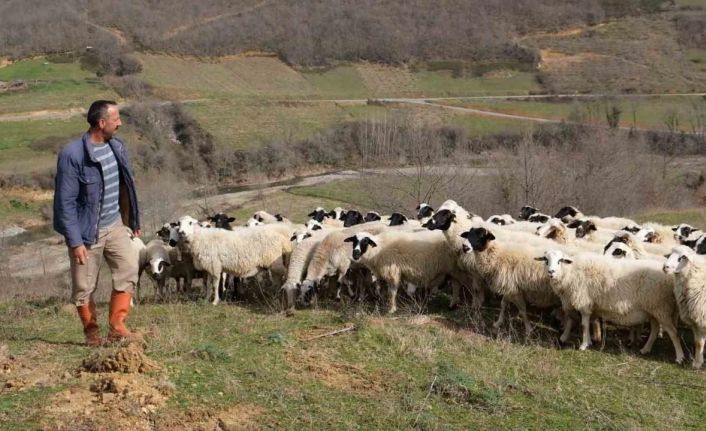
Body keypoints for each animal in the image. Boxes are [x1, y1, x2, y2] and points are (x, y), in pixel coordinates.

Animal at [532, 248, 680, 362]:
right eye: (546, 260)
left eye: (560, 260)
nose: (551, 272)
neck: (570, 271)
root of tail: (669, 276)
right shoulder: (573, 300)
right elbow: (571, 320)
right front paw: (566, 338)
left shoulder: (584, 301)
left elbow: (584, 324)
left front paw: (584, 345)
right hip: (654, 309)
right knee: (655, 329)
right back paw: (645, 349)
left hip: (661, 307)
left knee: (673, 332)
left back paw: (679, 357)